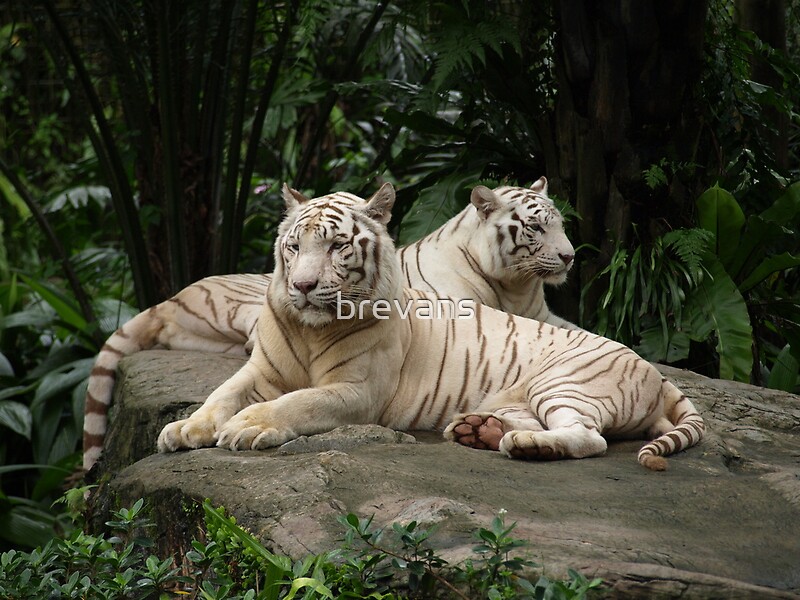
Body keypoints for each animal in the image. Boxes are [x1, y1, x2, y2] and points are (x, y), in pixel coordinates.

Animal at [156, 183, 708, 468]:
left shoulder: (358, 391)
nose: (304, 286)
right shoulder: (259, 370)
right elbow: (220, 395)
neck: (310, 327)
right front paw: (185, 428)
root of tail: (659, 375)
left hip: (565, 383)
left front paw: (247, 427)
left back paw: (521, 446)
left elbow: (299, 402)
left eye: (337, 246)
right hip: (526, 398)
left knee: (589, 438)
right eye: (294, 246)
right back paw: (479, 431)